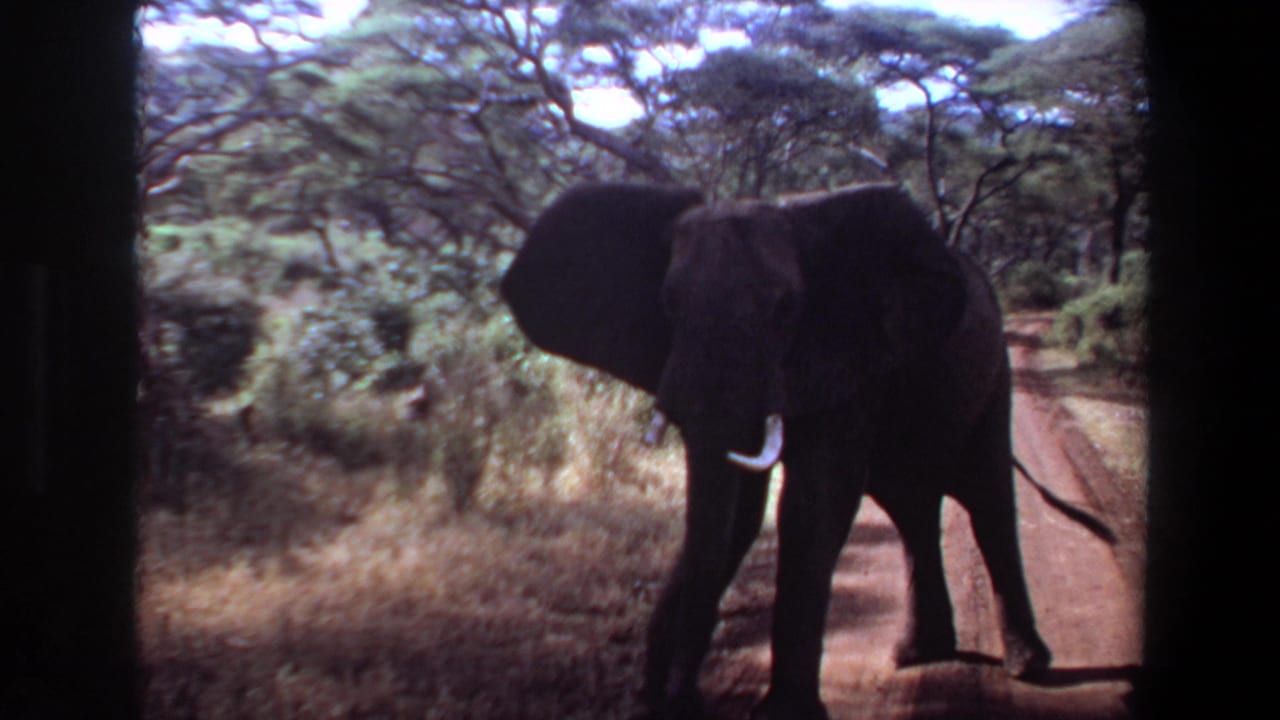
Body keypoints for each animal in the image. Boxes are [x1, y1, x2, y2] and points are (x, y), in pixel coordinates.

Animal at [500, 182, 1113, 720]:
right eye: (668, 305)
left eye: (785, 309)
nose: (682, 701)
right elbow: (741, 515)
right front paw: (655, 699)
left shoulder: (844, 352)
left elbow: (812, 505)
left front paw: (782, 714)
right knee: (911, 509)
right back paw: (919, 654)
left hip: (993, 374)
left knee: (987, 500)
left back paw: (1026, 668)